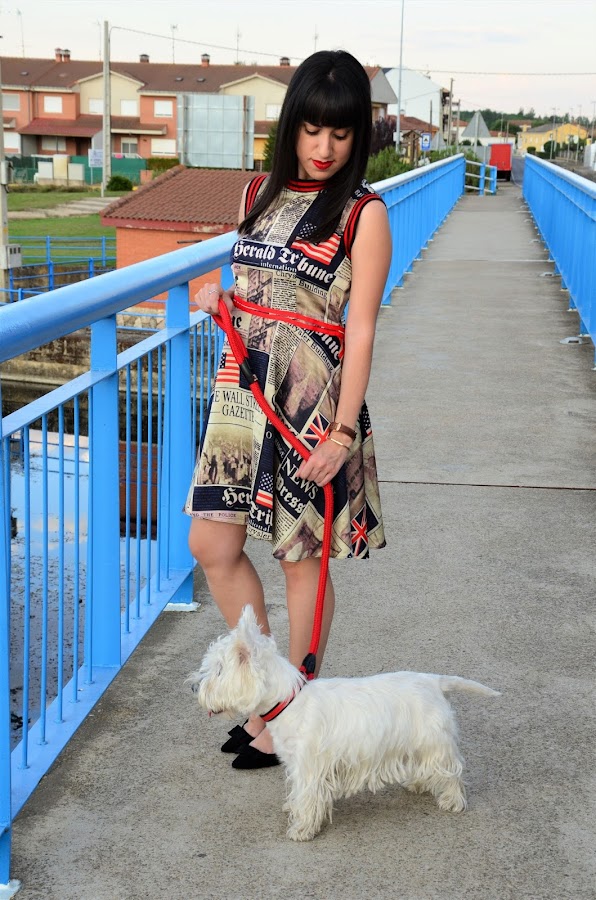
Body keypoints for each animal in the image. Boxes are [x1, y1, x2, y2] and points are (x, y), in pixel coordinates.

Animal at [188, 606, 500, 841]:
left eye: (218, 670)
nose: (193, 688)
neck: (287, 702)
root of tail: (433, 681)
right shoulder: (297, 764)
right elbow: (298, 792)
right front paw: (292, 807)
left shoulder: (310, 767)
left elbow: (308, 796)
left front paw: (301, 829)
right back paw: (418, 783)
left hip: (436, 741)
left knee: (451, 772)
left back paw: (453, 802)